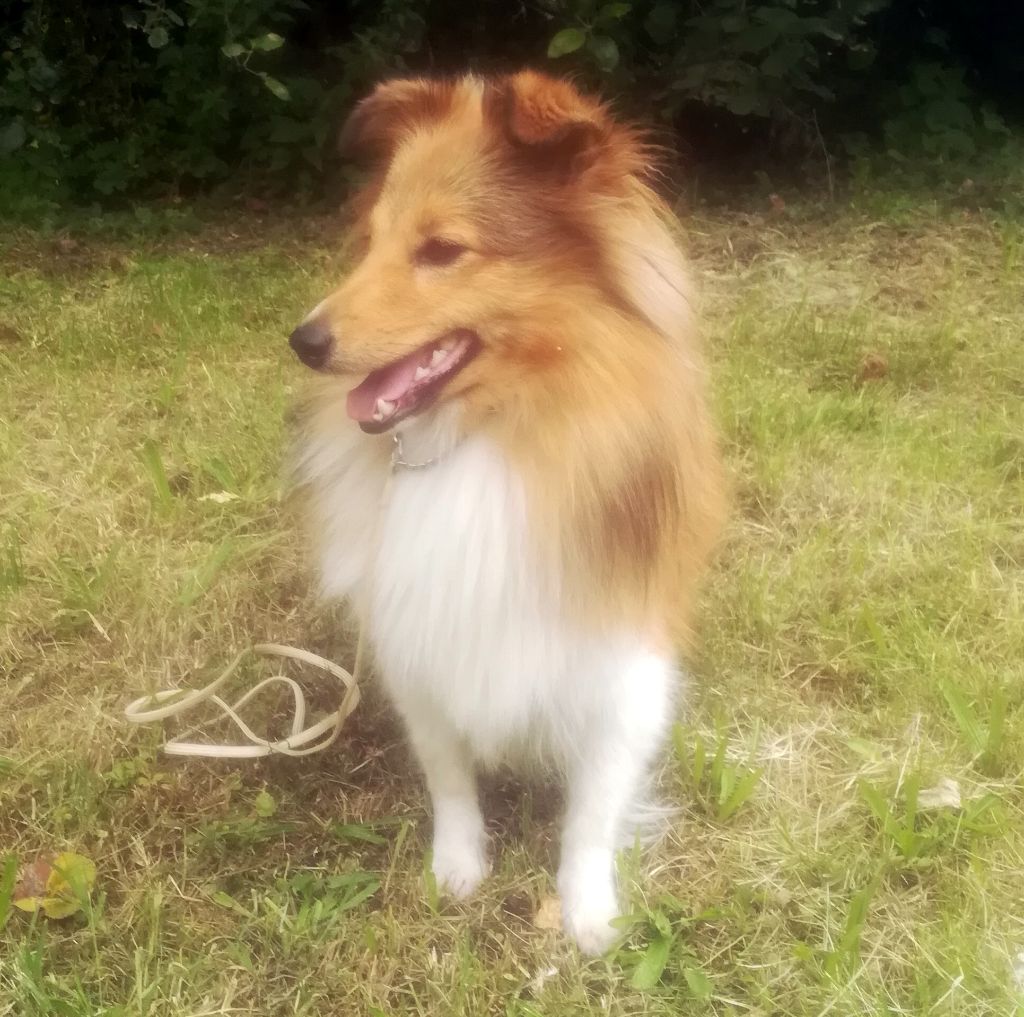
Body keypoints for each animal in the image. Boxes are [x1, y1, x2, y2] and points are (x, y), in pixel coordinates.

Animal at [288, 71, 724, 954]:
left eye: (441, 250)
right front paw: (458, 866)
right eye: (372, 239)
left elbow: (593, 803)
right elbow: (449, 772)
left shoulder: (620, 662)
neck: (493, 434)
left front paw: (587, 908)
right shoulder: (419, 644)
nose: (304, 341)